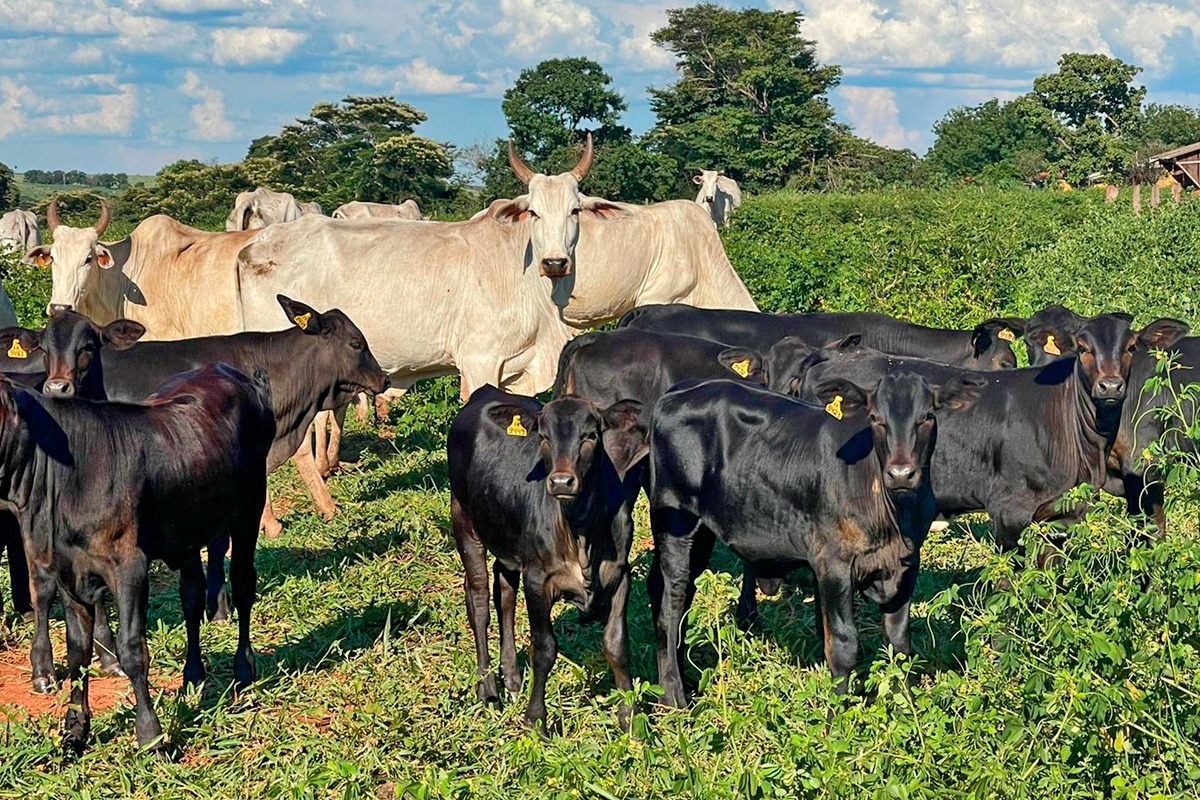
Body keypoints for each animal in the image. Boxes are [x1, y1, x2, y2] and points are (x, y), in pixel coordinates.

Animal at [0, 367, 273, 753]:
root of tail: (229, 372)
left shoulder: (129, 566)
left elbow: (132, 649)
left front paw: (151, 735)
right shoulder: (68, 570)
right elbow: (77, 652)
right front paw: (75, 730)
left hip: (249, 509)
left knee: (244, 584)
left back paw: (244, 671)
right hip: (188, 529)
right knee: (191, 596)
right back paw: (193, 677)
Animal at [446, 388, 648, 734]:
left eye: (591, 436)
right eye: (543, 437)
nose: (561, 482)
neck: (581, 533)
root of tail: (485, 392)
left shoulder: (621, 574)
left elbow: (617, 644)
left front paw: (630, 719)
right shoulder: (538, 579)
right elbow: (543, 648)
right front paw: (536, 720)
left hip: (506, 540)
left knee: (504, 592)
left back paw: (513, 680)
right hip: (464, 519)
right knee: (479, 602)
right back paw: (488, 690)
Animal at [652, 371, 979, 705]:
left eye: (927, 416)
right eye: (875, 418)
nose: (901, 473)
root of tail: (679, 390)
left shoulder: (906, 564)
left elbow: (900, 643)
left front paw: (908, 707)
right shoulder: (833, 564)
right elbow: (843, 645)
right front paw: (838, 715)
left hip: (701, 533)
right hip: (676, 522)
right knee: (671, 605)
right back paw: (675, 696)